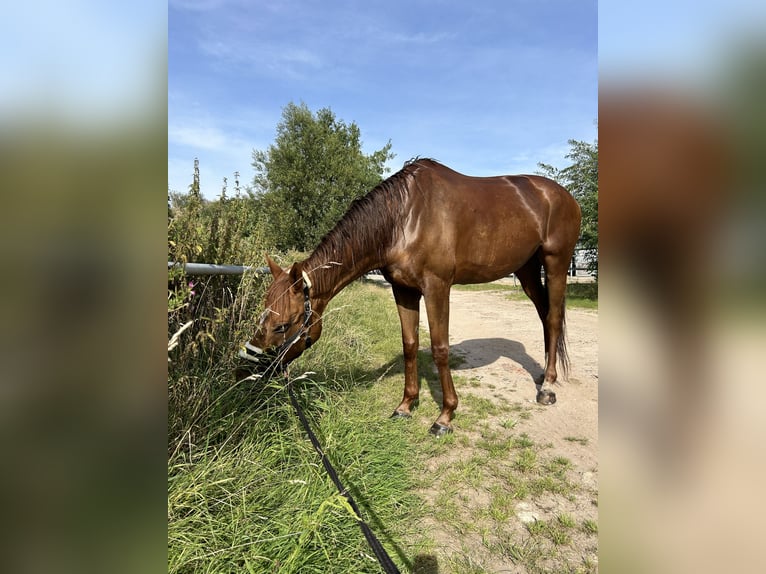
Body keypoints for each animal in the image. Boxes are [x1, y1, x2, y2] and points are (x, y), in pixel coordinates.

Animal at [240, 158, 584, 436]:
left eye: (283, 325)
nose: (246, 370)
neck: (404, 218)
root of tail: (563, 195)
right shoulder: (403, 290)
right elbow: (409, 345)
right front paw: (405, 405)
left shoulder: (437, 287)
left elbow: (440, 348)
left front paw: (445, 416)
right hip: (527, 270)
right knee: (544, 316)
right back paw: (544, 375)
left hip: (556, 263)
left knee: (554, 318)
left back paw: (547, 387)